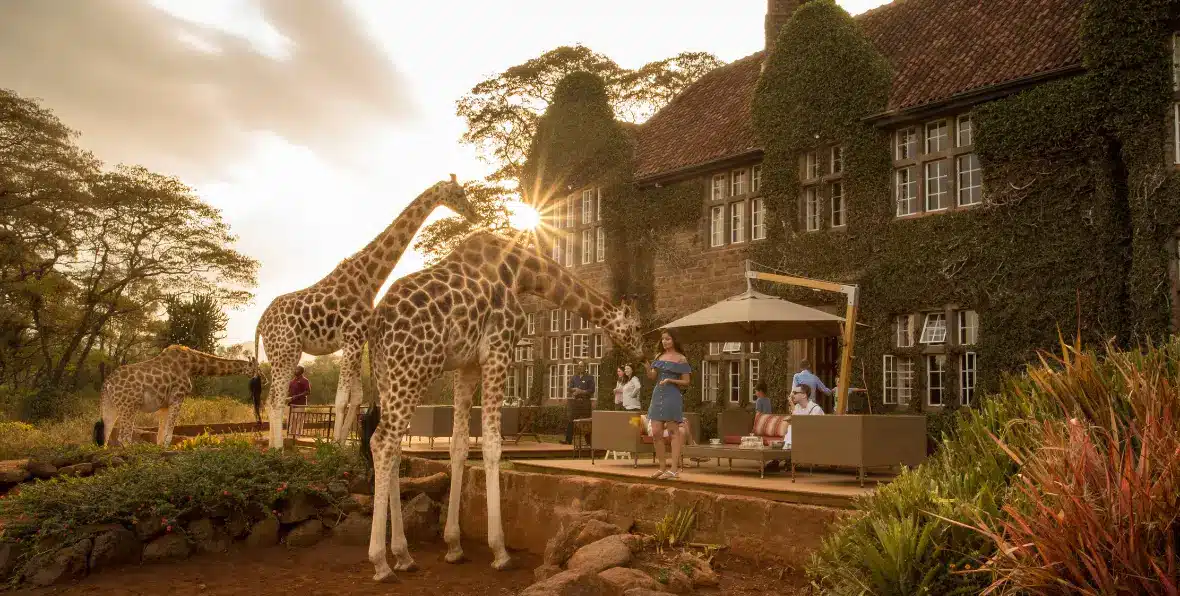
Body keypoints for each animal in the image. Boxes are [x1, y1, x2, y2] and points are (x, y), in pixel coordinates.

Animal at [93, 345, 260, 447]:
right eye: (257, 368)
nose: (263, 378)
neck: (193, 365)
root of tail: (106, 384)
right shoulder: (178, 396)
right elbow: (169, 433)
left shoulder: (164, 404)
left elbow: (160, 435)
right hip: (129, 406)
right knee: (124, 437)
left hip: (110, 406)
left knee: (105, 436)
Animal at [254, 176, 474, 449]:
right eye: (459, 193)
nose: (474, 214)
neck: (368, 281)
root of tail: (260, 323)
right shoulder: (351, 338)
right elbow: (341, 397)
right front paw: (332, 446)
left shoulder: (357, 340)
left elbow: (356, 396)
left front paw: (341, 445)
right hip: (285, 350)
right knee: (275, 397)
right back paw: (278, 448)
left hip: (283, 352)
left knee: (273, 397)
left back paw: (274, 446)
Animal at [362, 230, 645, 581]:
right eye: (636, 327)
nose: (642, 354)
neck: (521, 273)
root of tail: (377, 323)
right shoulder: (498, 350)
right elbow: (492, 445)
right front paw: (500, 551)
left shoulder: (468, 364)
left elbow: (459, 445)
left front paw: (454, 546)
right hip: (415, 368)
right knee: (383, 442)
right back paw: (380, 562)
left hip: (386, 374)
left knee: (394, 446)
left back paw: (403, 555)